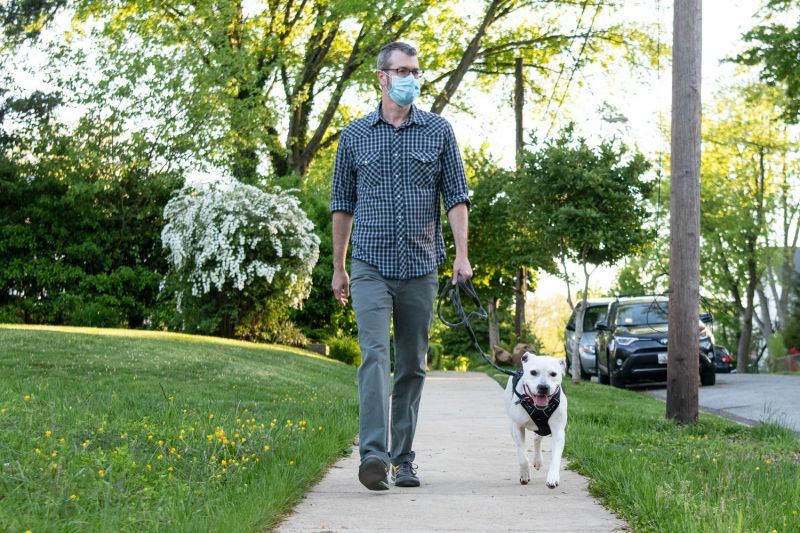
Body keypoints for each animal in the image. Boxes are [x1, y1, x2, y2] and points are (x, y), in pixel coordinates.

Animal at [504, 352, 564, 488]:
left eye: (553, 374)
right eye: (533, 372)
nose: (543, 387)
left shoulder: (558, 430)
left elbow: (555, 456)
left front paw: (553, 477)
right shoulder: (518, 427)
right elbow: (522, 456)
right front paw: (525, 475)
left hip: (543, 428)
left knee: (537, 438)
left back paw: (538, 460)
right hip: (511, 425)